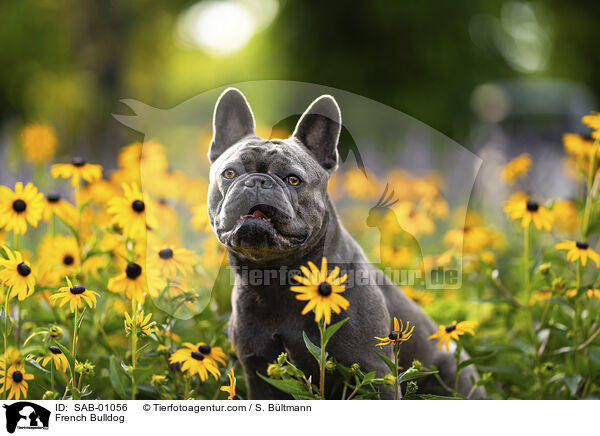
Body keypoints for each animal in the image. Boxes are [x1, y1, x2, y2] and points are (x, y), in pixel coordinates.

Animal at [206, 87, 482, 398]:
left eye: (293, 179)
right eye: (229, 173)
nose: (257, 182)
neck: (275, 276)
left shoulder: (376, 371)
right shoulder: (260, 375)